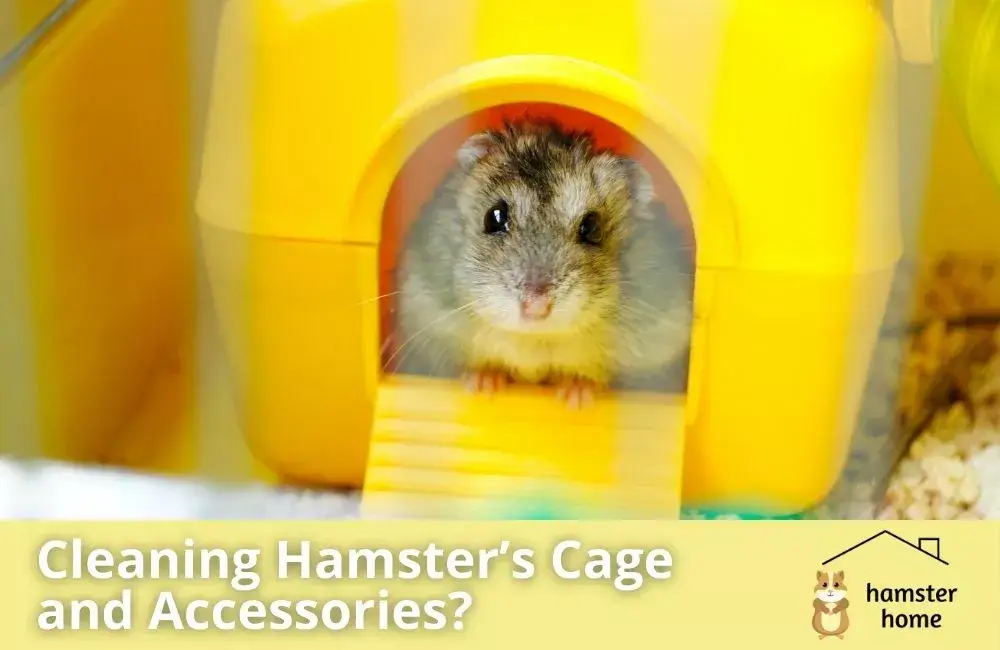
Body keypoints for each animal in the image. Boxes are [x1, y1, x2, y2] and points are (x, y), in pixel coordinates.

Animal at [390, 117, 693, 407]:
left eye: (592, 227)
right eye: (494, 216)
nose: (535, 307)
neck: (534, 336)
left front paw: (576, 396)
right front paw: (481, 384)